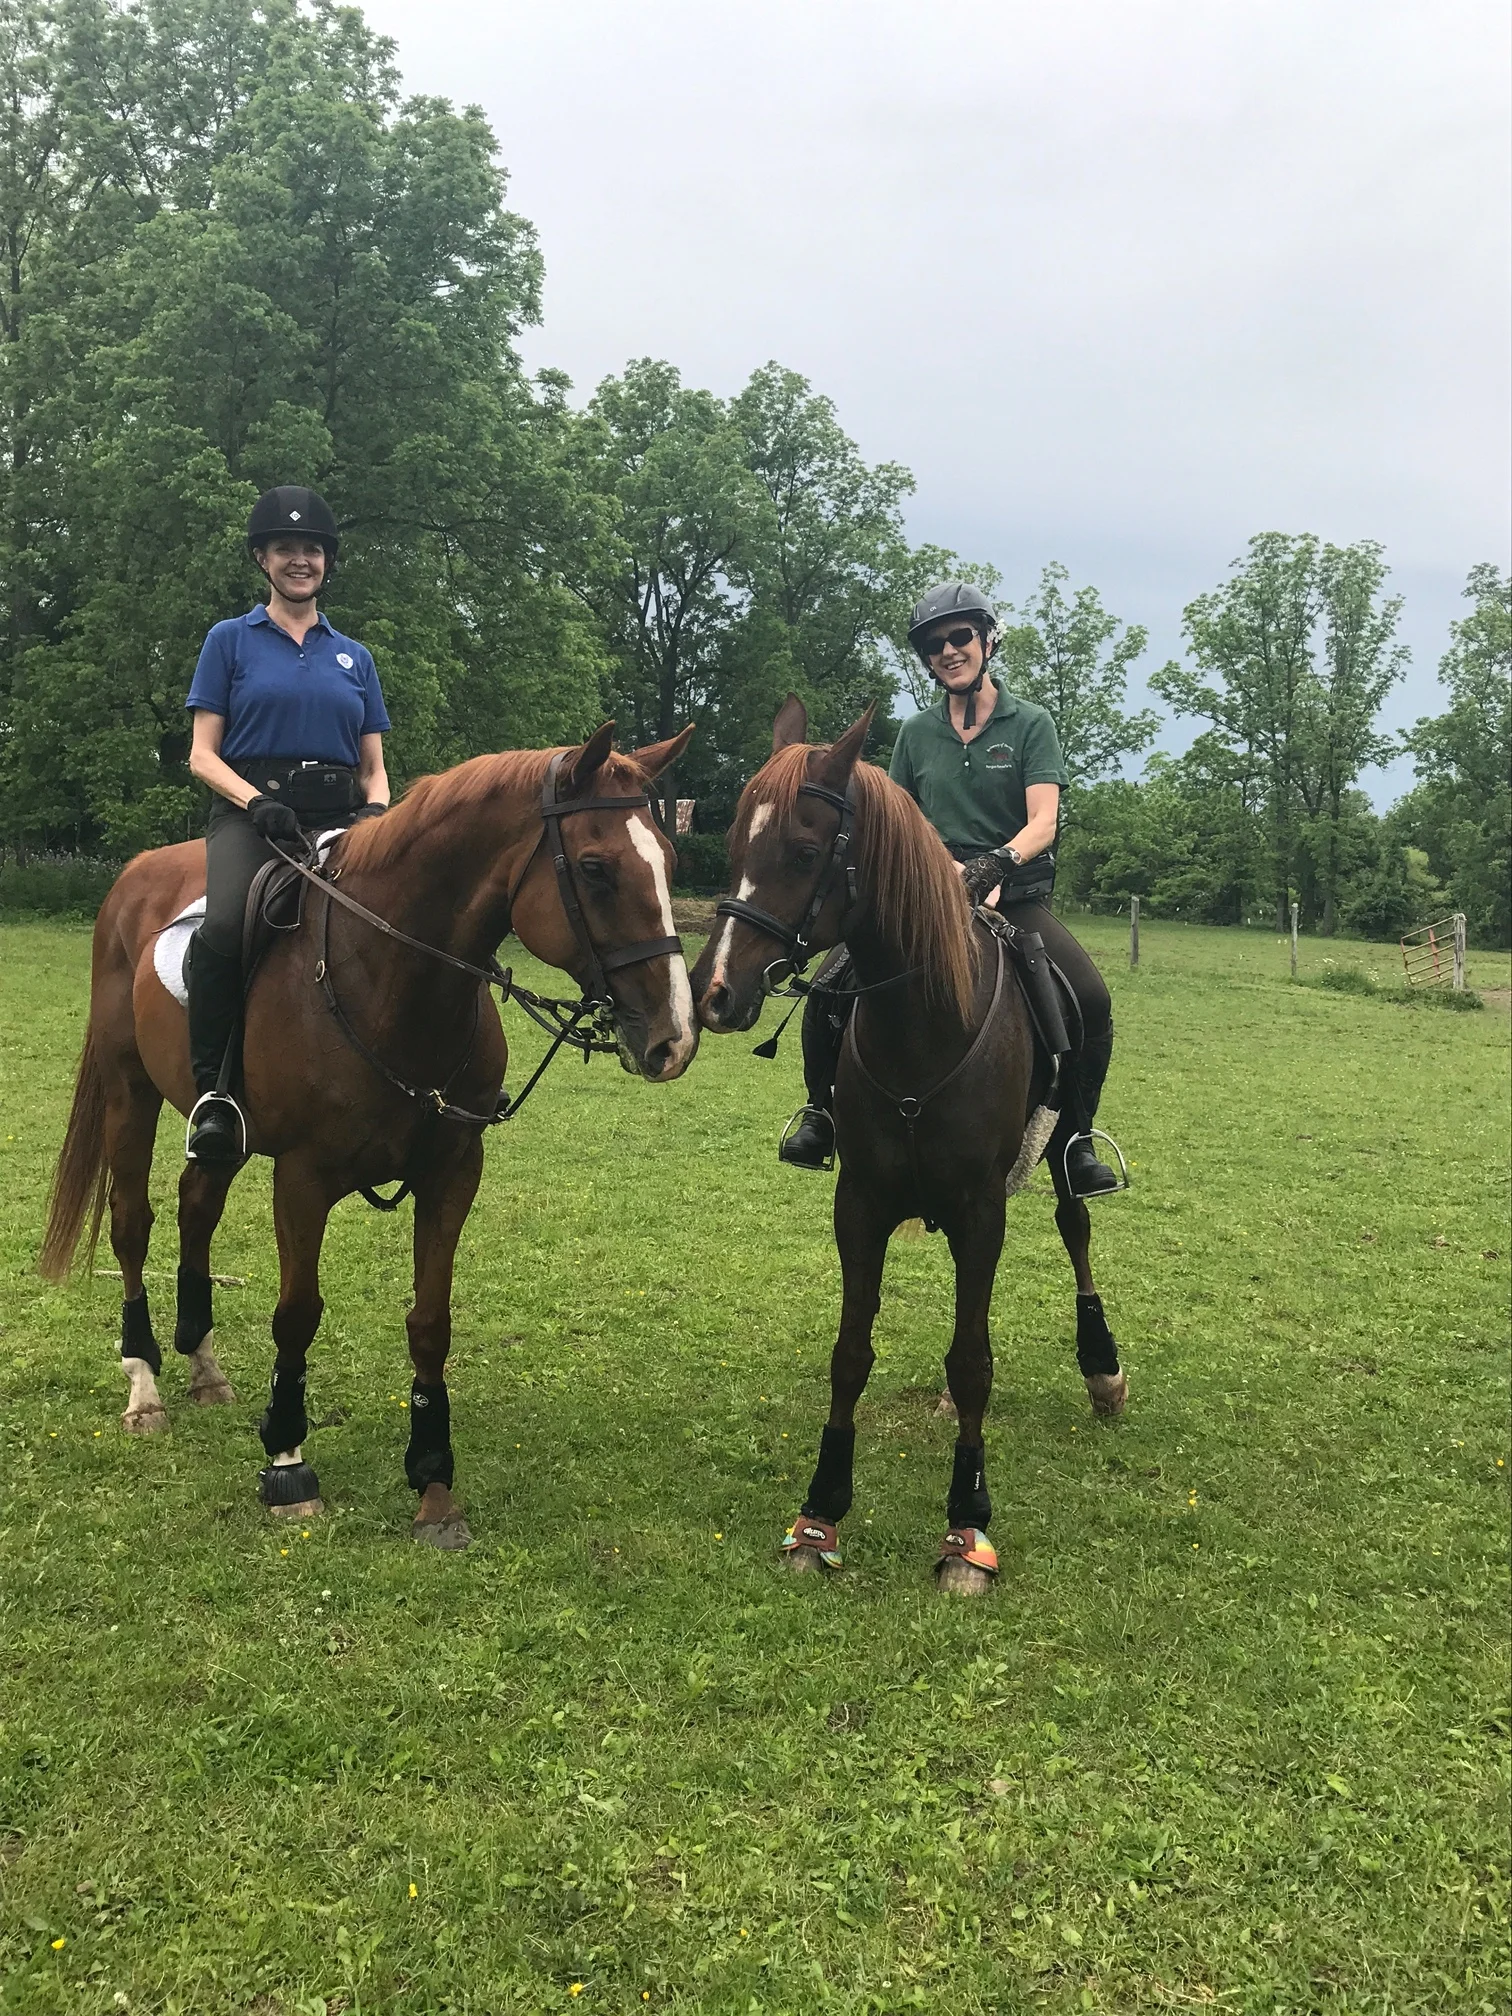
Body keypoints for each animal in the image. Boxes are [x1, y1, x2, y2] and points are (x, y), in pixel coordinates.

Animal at [39, 722, 696, 1547]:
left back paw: (205, 1368)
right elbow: (297, 1316)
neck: (387, 975)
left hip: (217, 1130)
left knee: (197, 1204)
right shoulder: (303, 1177)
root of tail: (133, 877)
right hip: (129, 1091)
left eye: (668, 860)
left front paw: (434, 1482)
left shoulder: (454, 1171)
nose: (675, 1038)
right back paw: (145, 1386)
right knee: (132, 1223)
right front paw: (287, 1464)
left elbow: (430, 1321)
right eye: (595, 868)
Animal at [690, 698, 1126, 1596]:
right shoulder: (858, 1204)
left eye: (804, 851)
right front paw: (818, 1516)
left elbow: (972, 1363)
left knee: (1075, 1225)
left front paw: (967, 1530)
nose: (713, 992)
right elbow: (850, 1353)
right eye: (735, 845)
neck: (925, 1025)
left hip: (1062, 1152)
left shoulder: (980, 1212)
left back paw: (1102, 1368)